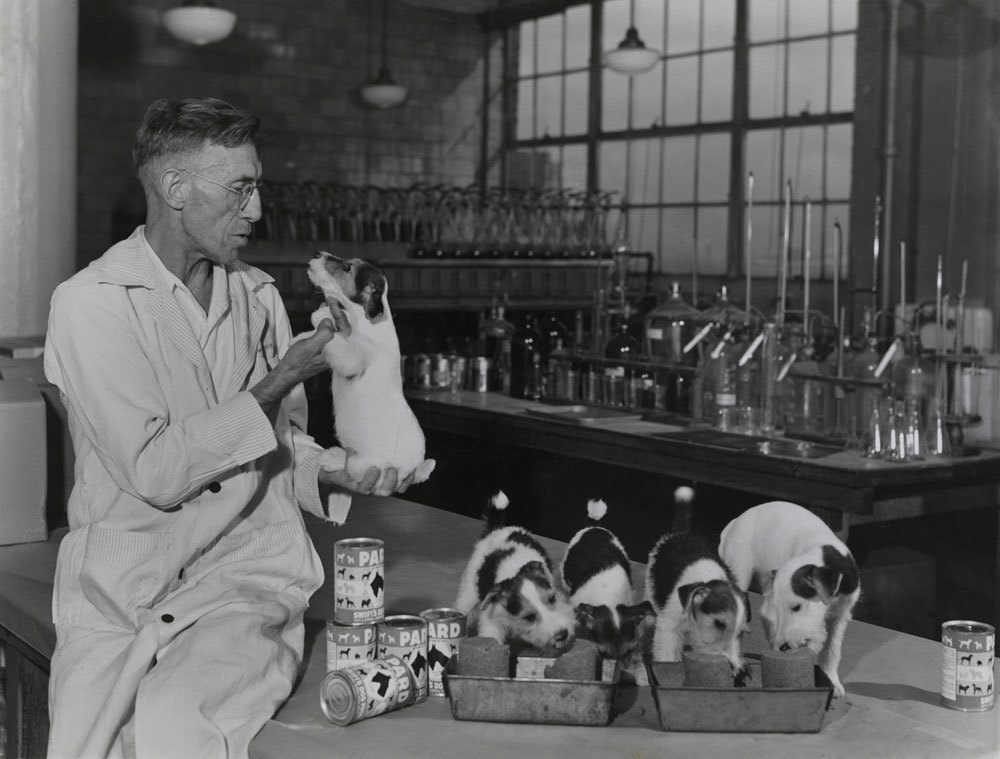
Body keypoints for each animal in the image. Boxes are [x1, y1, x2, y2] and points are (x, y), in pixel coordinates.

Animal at [300, 252, 434, 504]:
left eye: (346, 268)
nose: (317, 254)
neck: (365, 320)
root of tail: (415, 468)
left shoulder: (354, 358)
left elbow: (338, 339)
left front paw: (322, 314)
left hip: (364, 465)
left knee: (351, 468)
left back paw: (332, 458)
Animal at [456, 492, 576, 652]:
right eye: (529, 617)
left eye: (552, 599)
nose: (563, 634)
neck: (516, 572)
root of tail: (496, 529)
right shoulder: (492, 621)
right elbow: (492, 637)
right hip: (469, 592)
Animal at [648, 528, 752, 676]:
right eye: (719, 623)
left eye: (741, 633)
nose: (737, 669)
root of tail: (678, 534)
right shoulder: (669, 628)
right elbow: (667, 655)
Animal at [720, 502, 860, 696]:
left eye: (797, 607)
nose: (784, 647)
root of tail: (734, 523)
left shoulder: (841, 614)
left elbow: (832, 650)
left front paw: (832, 680)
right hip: (739, 573)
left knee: (764, 615)